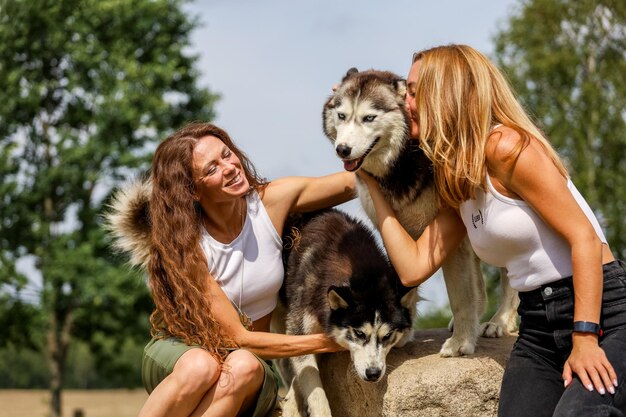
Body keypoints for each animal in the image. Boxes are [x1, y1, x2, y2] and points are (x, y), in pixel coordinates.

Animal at [276, 208, 414, 416]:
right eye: (359, 333)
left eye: (387, 336)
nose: (373, 374)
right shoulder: (300, 330)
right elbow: (315, 391)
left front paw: (292, 403)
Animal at [322, 68, 516, 354]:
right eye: (342, 115)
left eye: (369, 118)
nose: (342, 149)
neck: (404, 161)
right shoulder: (396, 236)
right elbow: (405, 285)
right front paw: (402, 332)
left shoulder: (448, 243)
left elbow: (460, 296)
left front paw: (461, 343)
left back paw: (498, 322)